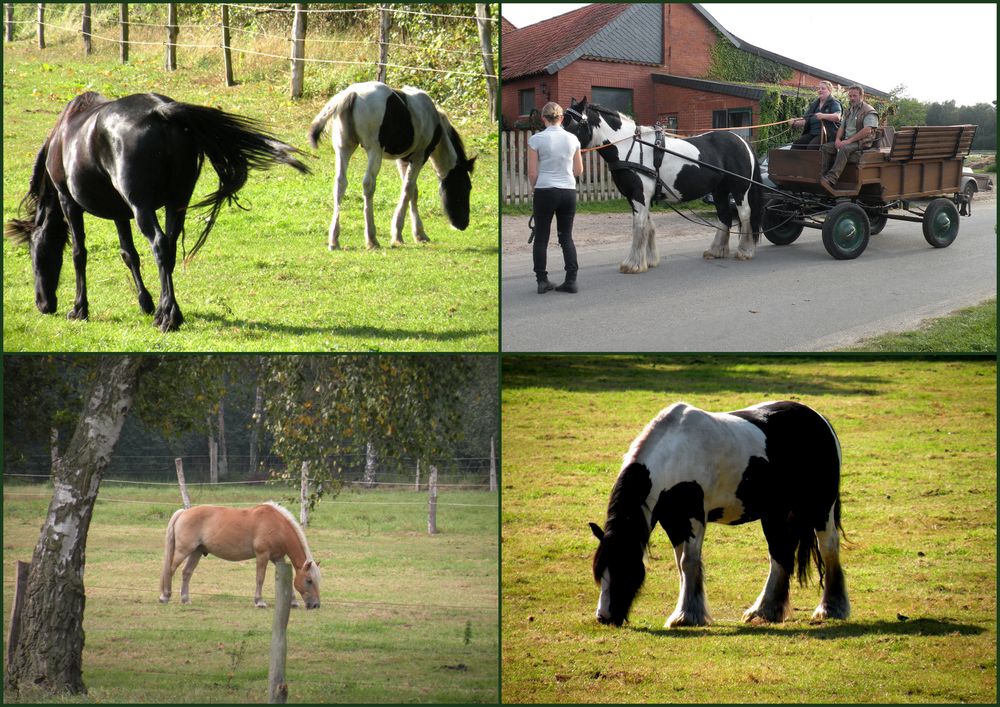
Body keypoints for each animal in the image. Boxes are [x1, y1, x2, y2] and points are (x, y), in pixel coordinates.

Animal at [4, 91, 308, 332]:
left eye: (35, 256)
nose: (44, 304)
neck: (64, 135)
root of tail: (161, 111)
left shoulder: (69, 202)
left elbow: (80, 254)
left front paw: (79, 309)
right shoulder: (119, 212)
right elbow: (129, 254)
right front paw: (145, 302)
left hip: (142, 207)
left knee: (160, 245)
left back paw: (168, 318)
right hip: (176, 202)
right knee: (169, 249)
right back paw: (167, 311)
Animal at [161, 500, 320, 612]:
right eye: (309, 580)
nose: (315, 605)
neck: (277, 525)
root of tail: (183, 512)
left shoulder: (277, 558)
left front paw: (293, 602)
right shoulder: (262, 556)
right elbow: (260, 578)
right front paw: (259, 602)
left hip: (196, 552)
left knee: (186, 573)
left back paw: (185, 599)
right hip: (183, 551)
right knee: (170, 570)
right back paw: (164, 596)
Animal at [306, 82, 474, 252]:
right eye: (466, 187)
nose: (463, 224)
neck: (433, 120)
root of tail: (351, 94)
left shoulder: (403, 160)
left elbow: (413, 192)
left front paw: (419, 234)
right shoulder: (419, 157)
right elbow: (408, 189)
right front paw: (398, 235)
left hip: (343, 148)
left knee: (340, 183)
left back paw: (334, 240)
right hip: (374, 151)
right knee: (368, 184)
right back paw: (372, 240)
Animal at [564, 99, 764, 274]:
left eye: (572, 124)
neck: (630, 146)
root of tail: (743, 141)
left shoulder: (639, 195)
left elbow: (639, 226)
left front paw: (633, 264)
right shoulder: (639, 196)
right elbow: (648, 226)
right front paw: (650, 260)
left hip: (740, 189)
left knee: (744, 214)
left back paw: (745, 251)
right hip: (720, 191)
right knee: (724, 216)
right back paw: (716, 250)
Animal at [588, 402, 848, 628]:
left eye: (623, 568)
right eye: (600, 572)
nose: (603, 617)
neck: (673, 453)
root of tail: (819, 419)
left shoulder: (693, 516)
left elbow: (688, 562)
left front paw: (685, 616)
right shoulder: (673, 521)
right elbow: (682, 565)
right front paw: (687, 611)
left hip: (820, 508)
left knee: (828, 548)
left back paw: (830, 608)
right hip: (775, 513)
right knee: (780, 552)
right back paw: (764, 611)